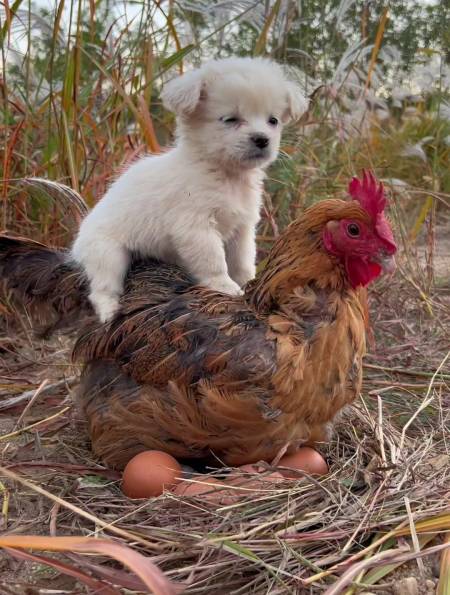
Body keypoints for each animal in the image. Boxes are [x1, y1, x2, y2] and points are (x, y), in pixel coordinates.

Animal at [72, 57, 308, 322]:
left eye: (273, 121)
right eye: (231, 119)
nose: (262, 139)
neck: (226, 175)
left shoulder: (242, 229)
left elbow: (243, 261)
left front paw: (248, 283)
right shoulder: (196, 228)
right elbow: (214, 260)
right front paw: (224, 286)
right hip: (108, 256)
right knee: (102, 288)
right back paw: (109, 310)